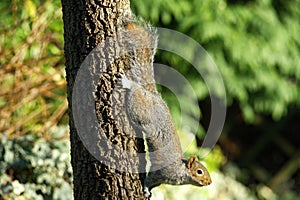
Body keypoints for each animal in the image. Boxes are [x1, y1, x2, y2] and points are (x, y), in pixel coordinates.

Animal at [119, 19, 211, 196]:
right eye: (199, 171)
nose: (209, 182)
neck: (180, 172)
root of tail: (153, 96)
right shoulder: (162, 172)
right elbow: (150, 178)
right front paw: (145, 189)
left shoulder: (162, 180)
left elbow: (154, 185)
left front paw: (150, 193)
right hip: (140, 110)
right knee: (135, 92)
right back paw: (128, 83)